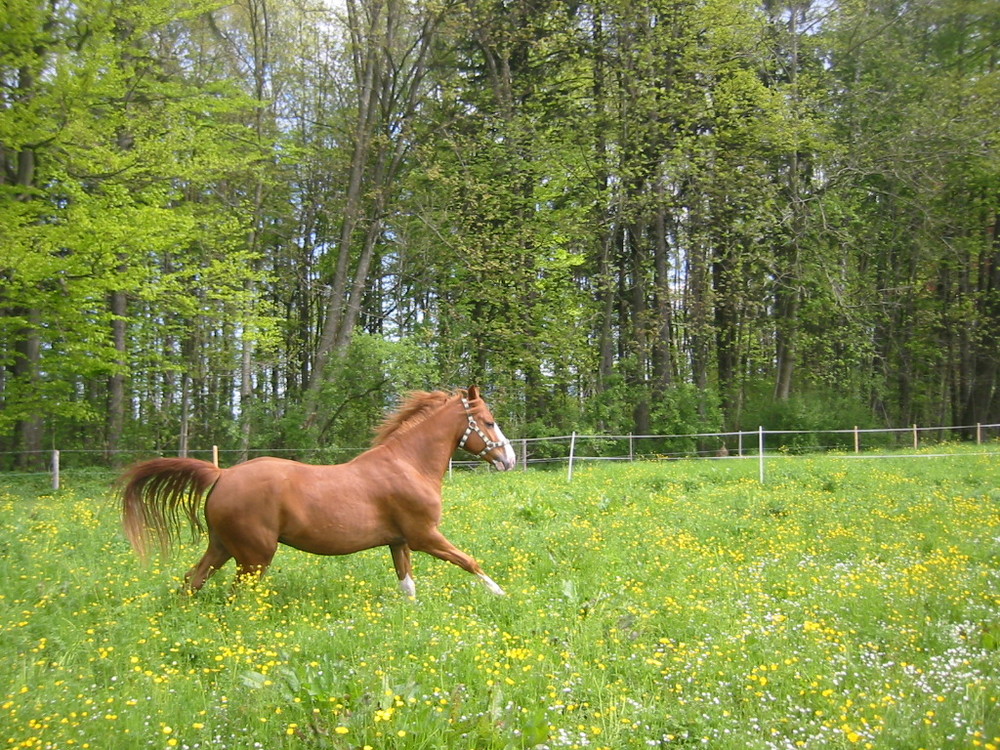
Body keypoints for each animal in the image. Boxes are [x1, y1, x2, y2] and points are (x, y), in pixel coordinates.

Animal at [119, 388, 516, 600]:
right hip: (254, 555)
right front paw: (500, 594)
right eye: (490, 421)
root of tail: (223, 474)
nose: (509, 459)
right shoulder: (424, 536)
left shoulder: (399, 541)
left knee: (193, 580)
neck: (409, 464)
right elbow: (469, 561)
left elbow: (408, 586)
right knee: (237, 593)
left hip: (222, 546)